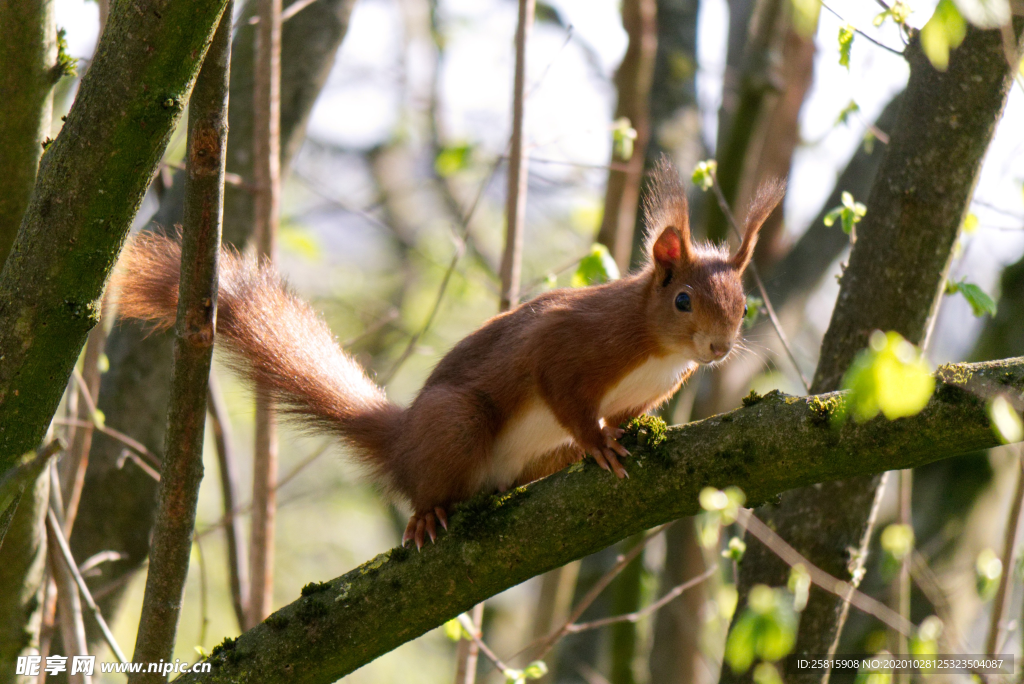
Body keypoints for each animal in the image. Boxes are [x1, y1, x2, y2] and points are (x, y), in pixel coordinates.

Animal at [112, 163, 782, 548]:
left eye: (744, 303)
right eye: (684, 300)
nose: (719, 348)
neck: (654, 348)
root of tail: (403, 440)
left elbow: (626, 415)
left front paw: (632, 433)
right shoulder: (571, 346)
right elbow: (565, 395)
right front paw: (600, 443)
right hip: (455, 424)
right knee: (428, 487)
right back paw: (427, 515)